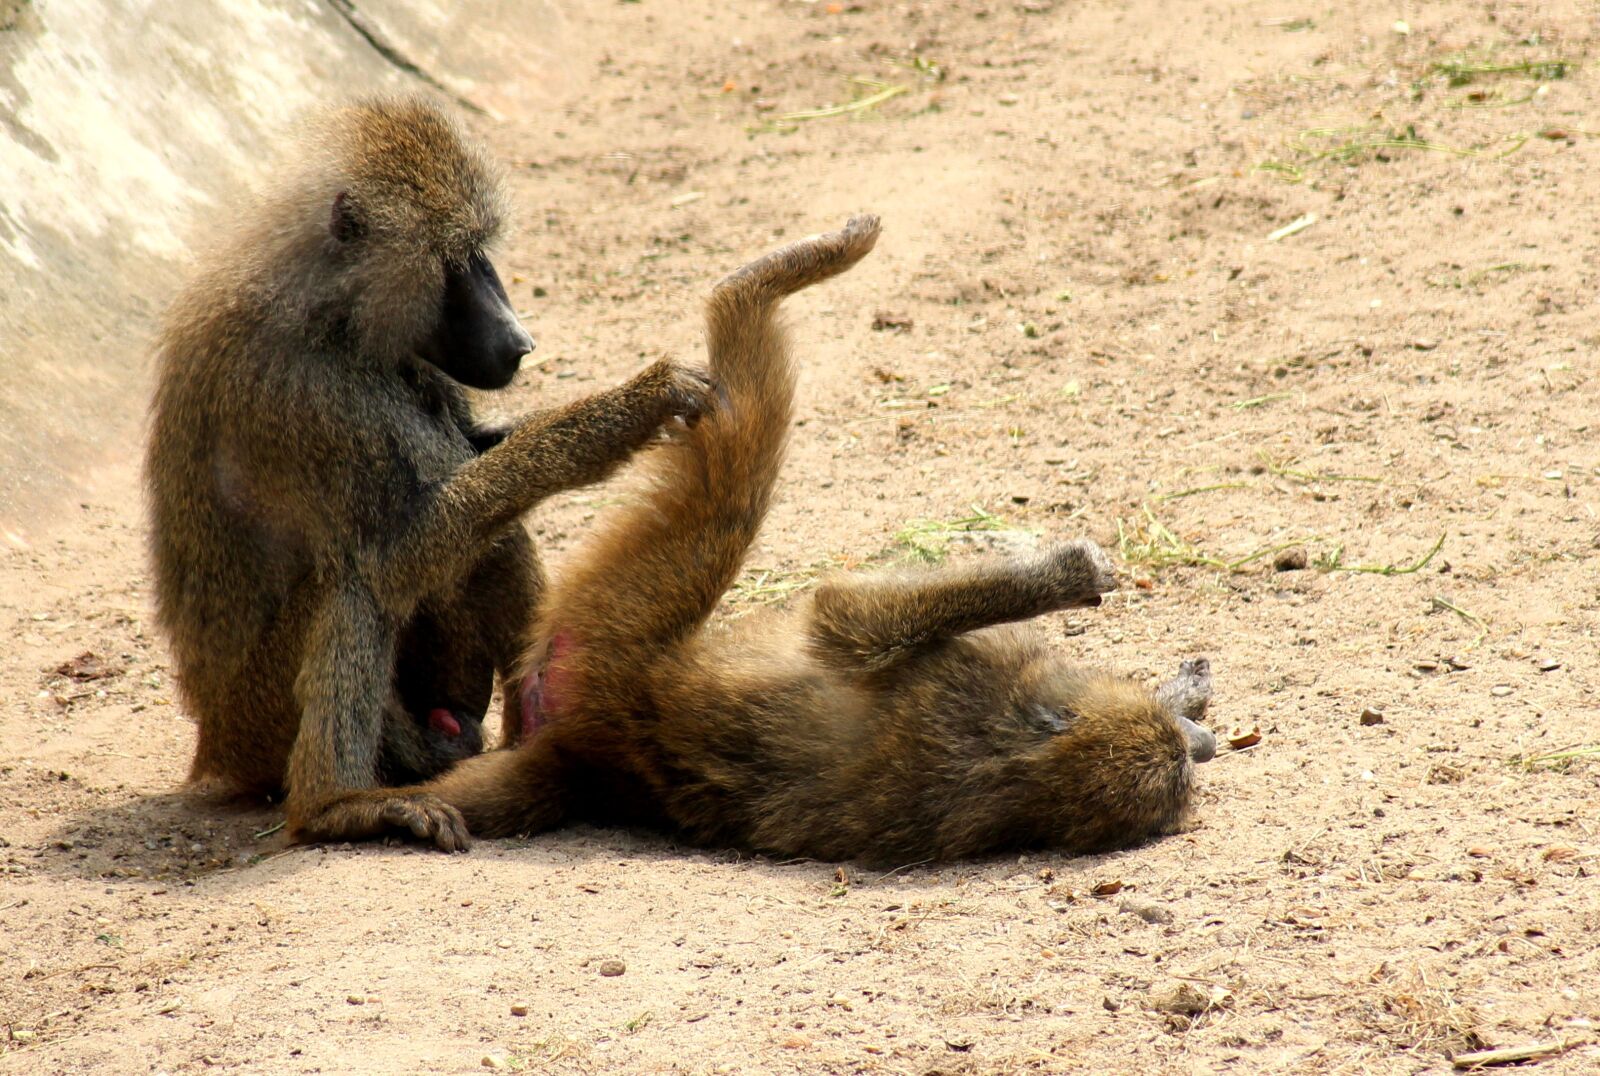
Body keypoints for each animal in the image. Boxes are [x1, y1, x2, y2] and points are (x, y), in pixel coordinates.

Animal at [144, 96, 714, 851]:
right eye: (457, 259)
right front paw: (636, 404)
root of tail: (212, 744)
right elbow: (398, 554)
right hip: (261, 717)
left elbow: (477, 455)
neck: (332, 312)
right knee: (354, 584)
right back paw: (335, 807)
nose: (520, 342)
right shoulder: (306, 394)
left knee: (493, 536)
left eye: (482, 254)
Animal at [418, 215, 1218, 863]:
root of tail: (595, 750)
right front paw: (1086, 586)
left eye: (1179, 765)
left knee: (736, 458)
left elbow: (841, 617)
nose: (1198, 748)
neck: (1012, 760)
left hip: (608, 623)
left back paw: (755, 287)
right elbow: (846, 618)